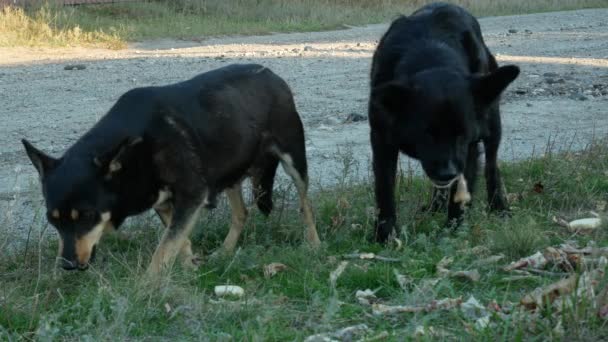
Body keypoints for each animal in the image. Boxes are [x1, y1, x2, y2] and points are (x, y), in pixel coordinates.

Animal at [22, 63, 320, 276]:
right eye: (52, 220)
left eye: (86, 216)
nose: (68, 265)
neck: (137, 151)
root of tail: (272, 74)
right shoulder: (165, 203)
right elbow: (179, 242)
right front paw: (189, 270)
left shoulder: (192, 196)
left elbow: (164, 249)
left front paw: (146, 288)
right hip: (228, 167)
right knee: (242, 213)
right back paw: (225, 251)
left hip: (293, 158)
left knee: (305, 205)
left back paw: (313, 244)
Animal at [368, 3, 520, 243]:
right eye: (426, 134)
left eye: (463, 134)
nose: (447, 173)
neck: (430, 58)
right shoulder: (382, 142)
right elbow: (385, 190)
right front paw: (384, 236)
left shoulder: (468, 147)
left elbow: (460, 192)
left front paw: (453, 230)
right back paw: (435, 206)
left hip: (492, 124)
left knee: (492, 165)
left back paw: (499, 206)